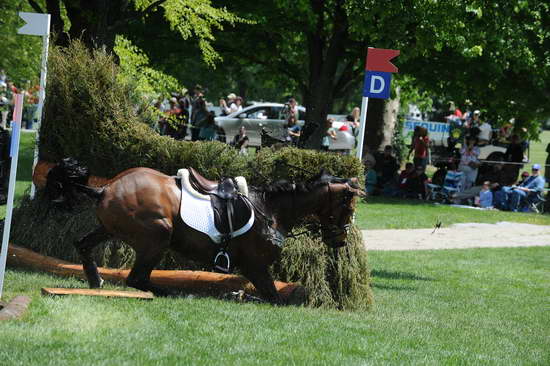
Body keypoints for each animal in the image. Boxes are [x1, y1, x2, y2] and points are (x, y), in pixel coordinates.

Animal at [45, 159, 364, 304]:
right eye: (348, 208)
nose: (340, 241)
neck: (270, 211)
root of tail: (105, 188)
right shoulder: (255, 266)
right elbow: (273, 297)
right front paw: (240, 295)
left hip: (109, 228)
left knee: (83, 244)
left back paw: (95, 279)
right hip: (157, 235)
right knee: (137, 278)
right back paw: (176, 293)